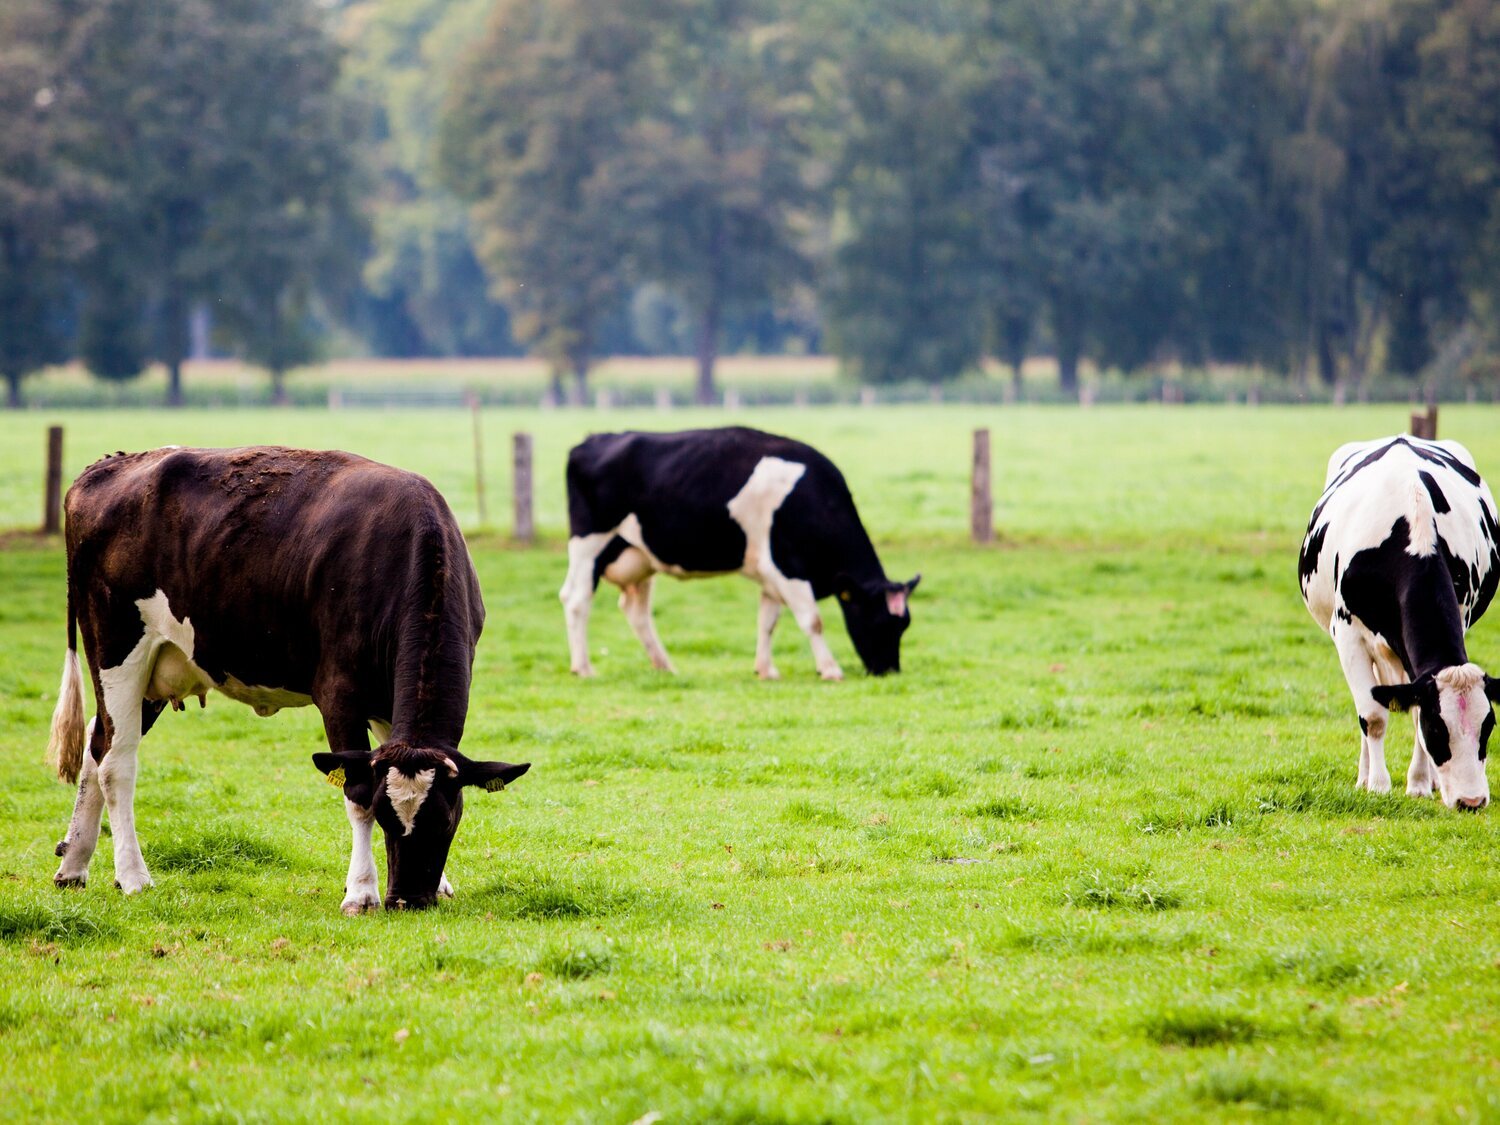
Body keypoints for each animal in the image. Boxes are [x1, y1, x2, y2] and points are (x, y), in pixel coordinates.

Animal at [46, 444, 531, 912]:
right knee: (116, 763)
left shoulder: (391, 705)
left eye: (447, 820)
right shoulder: (338, 692)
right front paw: (361, 892)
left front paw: (441, 883)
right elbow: (356, 790)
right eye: (385, 815)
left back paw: (74, 864)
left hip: (157, 670)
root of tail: (109, 466)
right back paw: (133, 877)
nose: (408, 900)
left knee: (97, 743)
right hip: (116, 647)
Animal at [561, 429, 918, 678]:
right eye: (879, 620)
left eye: (904, 625)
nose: (889, 670)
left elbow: (767, 622)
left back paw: (663, 665)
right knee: (576, 599)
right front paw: (830, 669)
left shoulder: (771, 574)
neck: (812, 499)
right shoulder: (788, 567)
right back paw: (583, 667)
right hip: (589, 543)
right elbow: (812, 620)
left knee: (635, 611)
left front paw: (766, 669)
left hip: (639, 556)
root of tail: (594, 439)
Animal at [1296, 435, 1494, 816]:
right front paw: (1377, 786)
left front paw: (1418, 785)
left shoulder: (1460, 616)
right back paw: (1363, 777)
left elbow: (1412, 712)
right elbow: (1372, 716)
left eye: (1488, 727)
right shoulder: (1348, 635)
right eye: (1439, 730)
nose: (1472, 801)